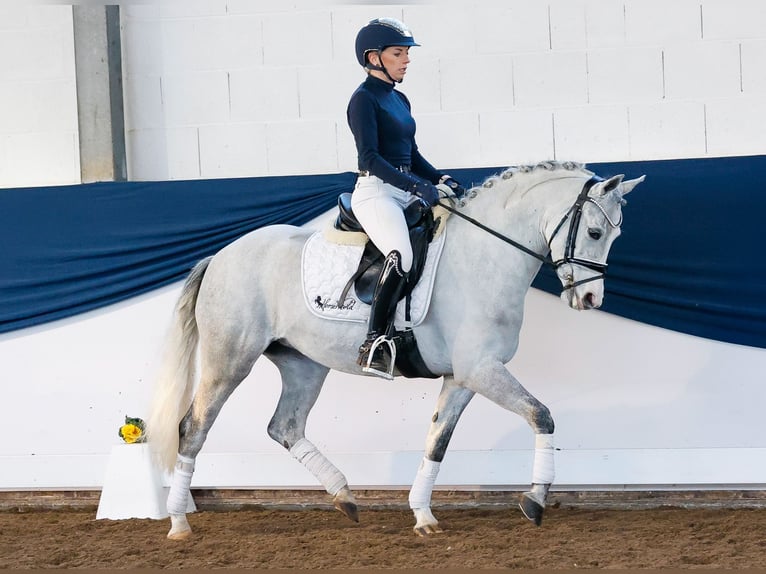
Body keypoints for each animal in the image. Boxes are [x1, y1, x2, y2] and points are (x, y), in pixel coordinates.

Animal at [147, 161, 644, 540]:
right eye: (594, 232)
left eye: (614, 237)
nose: (590, 299)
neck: (485, 256)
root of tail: (220, 256)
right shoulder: (482, 370)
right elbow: (542, 414)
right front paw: (536, 499)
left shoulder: (465, 377)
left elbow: (437, 440)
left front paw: (423, 515)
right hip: (229, 360)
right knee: (193, 428)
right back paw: (178, 523)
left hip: (303, 364)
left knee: (284, 426)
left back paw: (344, 496)